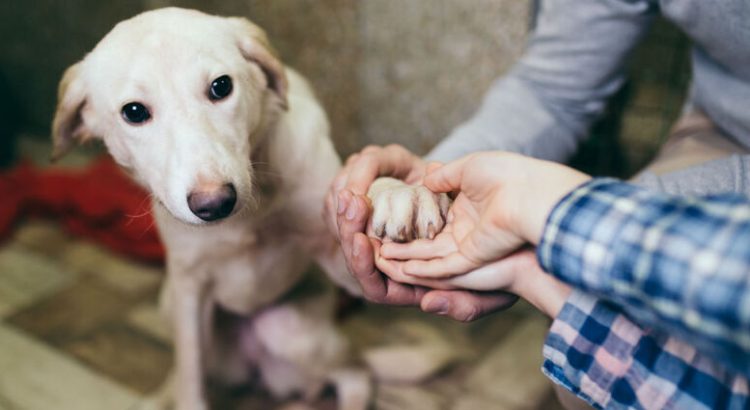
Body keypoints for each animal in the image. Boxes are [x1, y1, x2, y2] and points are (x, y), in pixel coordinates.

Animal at [54, 7, 452, 410]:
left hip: (292, 332)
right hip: (174, 306)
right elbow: (190, 376)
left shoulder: (342, 258)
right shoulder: (189, 291)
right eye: (134, 112)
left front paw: (398, 193)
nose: (215, 203)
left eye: (221, 87)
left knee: (356, 372)